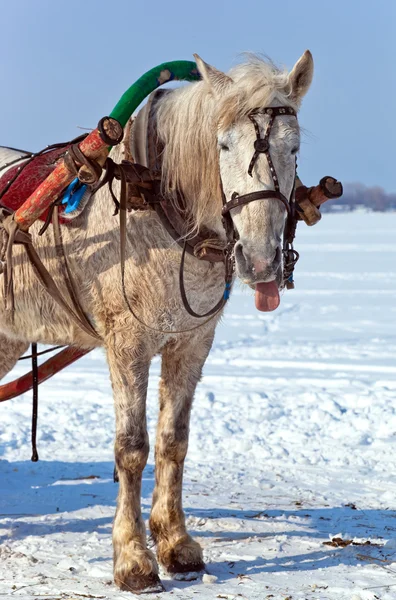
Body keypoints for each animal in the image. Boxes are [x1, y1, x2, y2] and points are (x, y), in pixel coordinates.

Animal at [0, 52, 314, 596]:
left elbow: (174, 440)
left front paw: (175, 542)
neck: (160, 203)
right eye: (223, 143)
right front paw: (133, 559)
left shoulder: (191, 342)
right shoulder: (128, 344)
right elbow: (132, 448)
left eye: (293, 146)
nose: (259, 261)